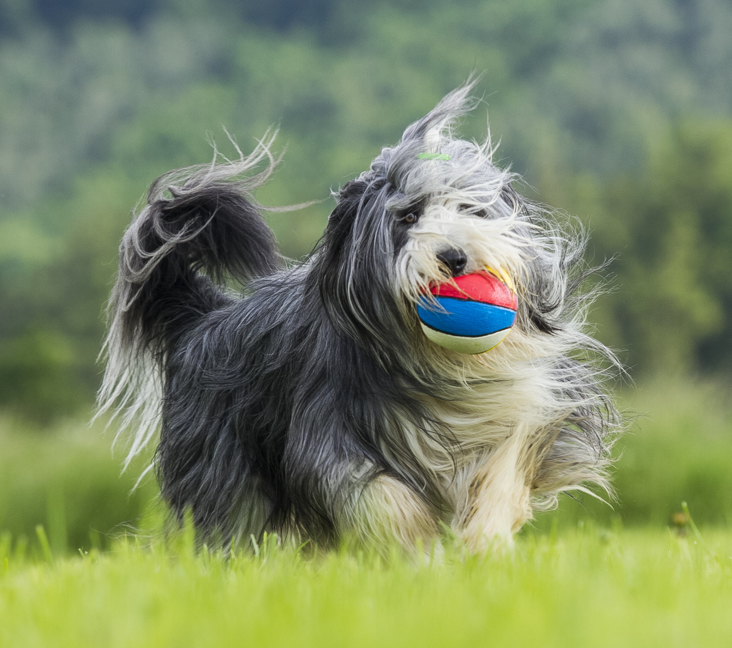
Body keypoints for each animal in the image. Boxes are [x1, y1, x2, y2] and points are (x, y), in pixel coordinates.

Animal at [100, 83, 620, 556]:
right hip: (222, 462)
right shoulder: (326, 432)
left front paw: (483, 540)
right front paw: (418, 549)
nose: (454, 257)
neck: (438, 365)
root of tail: (205, 316)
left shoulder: (520, 402)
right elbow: (377, 494)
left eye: (470, 208)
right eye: (408, 217)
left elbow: (504, 468)